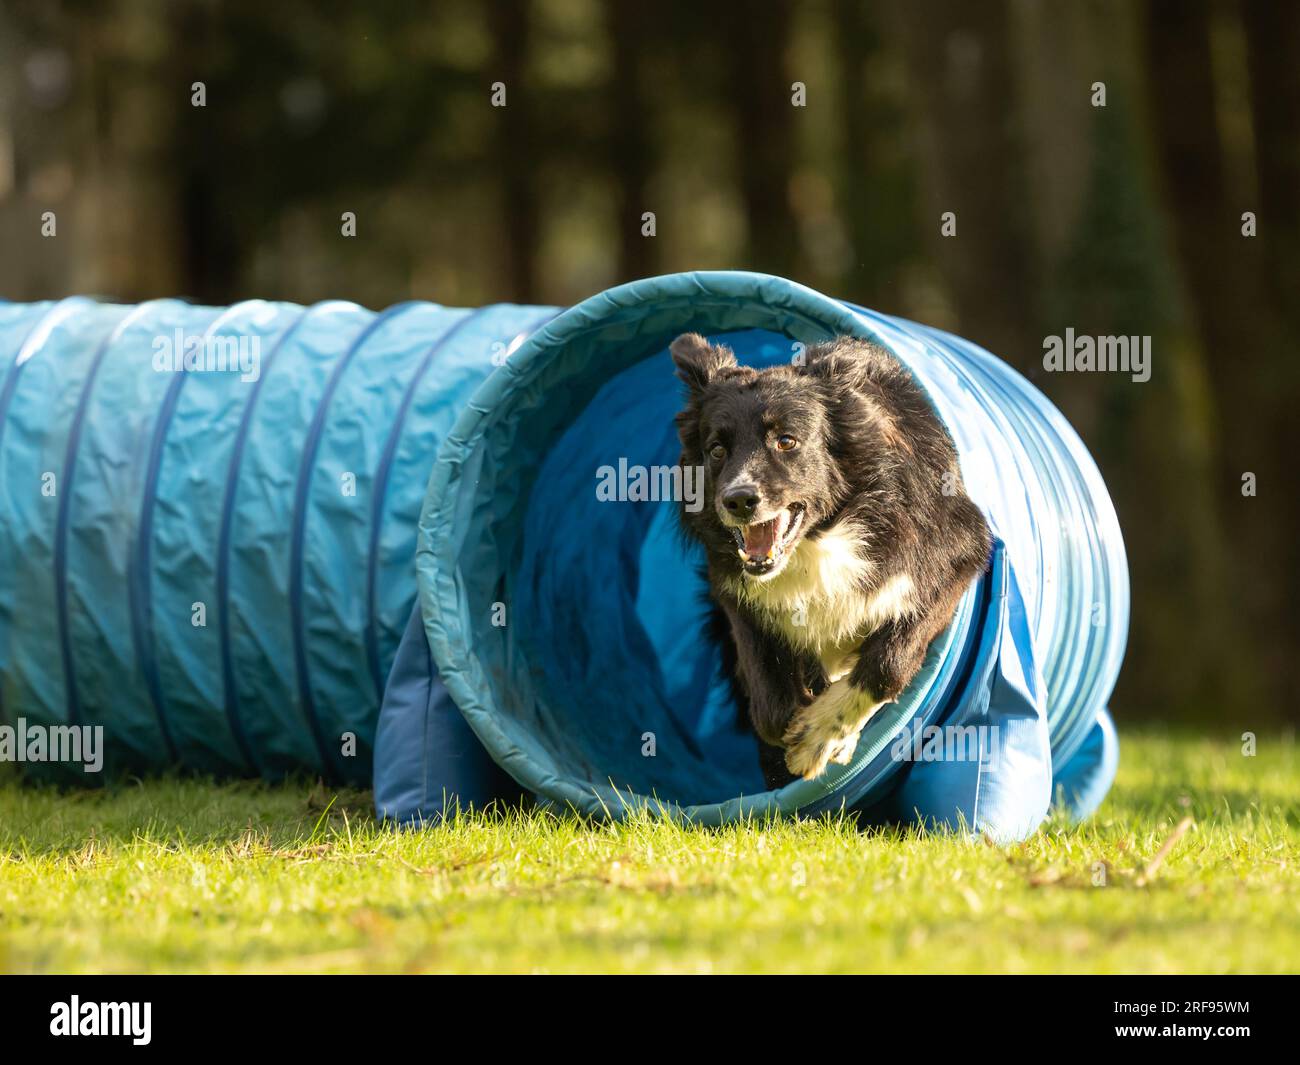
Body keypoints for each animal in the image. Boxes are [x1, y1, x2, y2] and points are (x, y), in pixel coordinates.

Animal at [670, 338, 993, 785]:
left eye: (786, 441)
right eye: (717, 450)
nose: (738, 500)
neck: (818, 541)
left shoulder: (959, 549)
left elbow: (889, 662)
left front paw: (819, 738)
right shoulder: (736, 593)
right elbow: (770, 710)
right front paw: (800, 731)